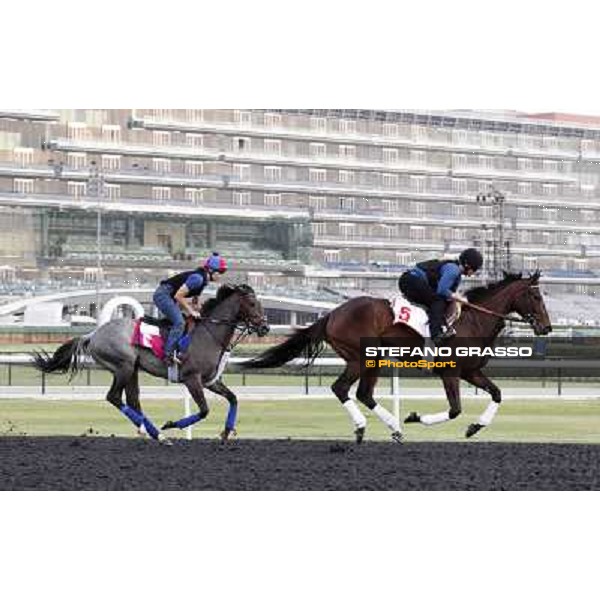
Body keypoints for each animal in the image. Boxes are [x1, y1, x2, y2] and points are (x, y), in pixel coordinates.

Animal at [32, 284, 268, 442]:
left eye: (259, 303)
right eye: (252, 303)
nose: (265, 328)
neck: (209, 334)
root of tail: (93, 334)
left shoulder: (211, 381)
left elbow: (233, 398)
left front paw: (226, 432)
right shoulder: (192, 379)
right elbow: (204, 410)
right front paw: (172, 424)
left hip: (132, 369)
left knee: (133, 400)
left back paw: (153, 433)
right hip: (123, 366)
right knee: (114, 397)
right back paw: (157, 433)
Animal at [245, 274, 552, 442]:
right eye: (536, 297)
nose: (547, 327)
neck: (473, 320)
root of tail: (331, 314)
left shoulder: (471, 372)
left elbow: (497, 393)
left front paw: (475, 427)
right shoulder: (450, 372)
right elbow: (454, 409)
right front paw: (416, 417)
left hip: (374, 359)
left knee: (364, 393)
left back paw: (394, 429)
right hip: (361, 358)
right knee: (342, 388)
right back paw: (365, 427)